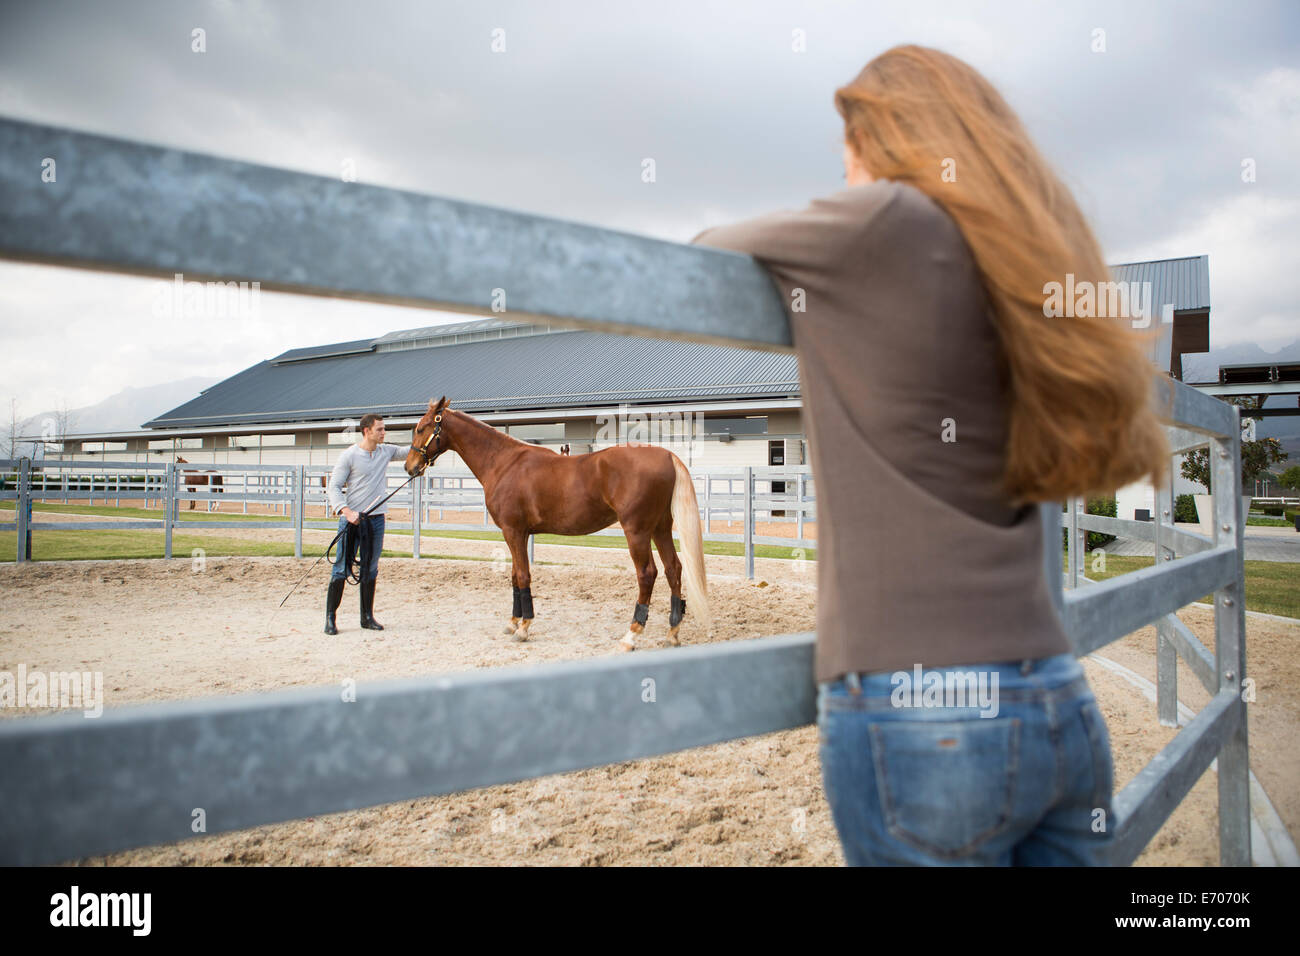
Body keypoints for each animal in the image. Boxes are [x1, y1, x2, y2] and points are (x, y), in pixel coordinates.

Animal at [405, 397, 709, 651]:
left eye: (420, 428)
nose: (410, 467)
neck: (503, 462)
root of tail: (666, 455)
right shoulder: (517, 534)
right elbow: (515, 576)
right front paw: (513, 622)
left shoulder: (513, 531)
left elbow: (523, 576)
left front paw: (524, 627)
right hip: (660, 528)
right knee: (673, 570)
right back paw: (672, 633)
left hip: (637, 531)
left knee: (647, 575)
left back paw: (631, 635)